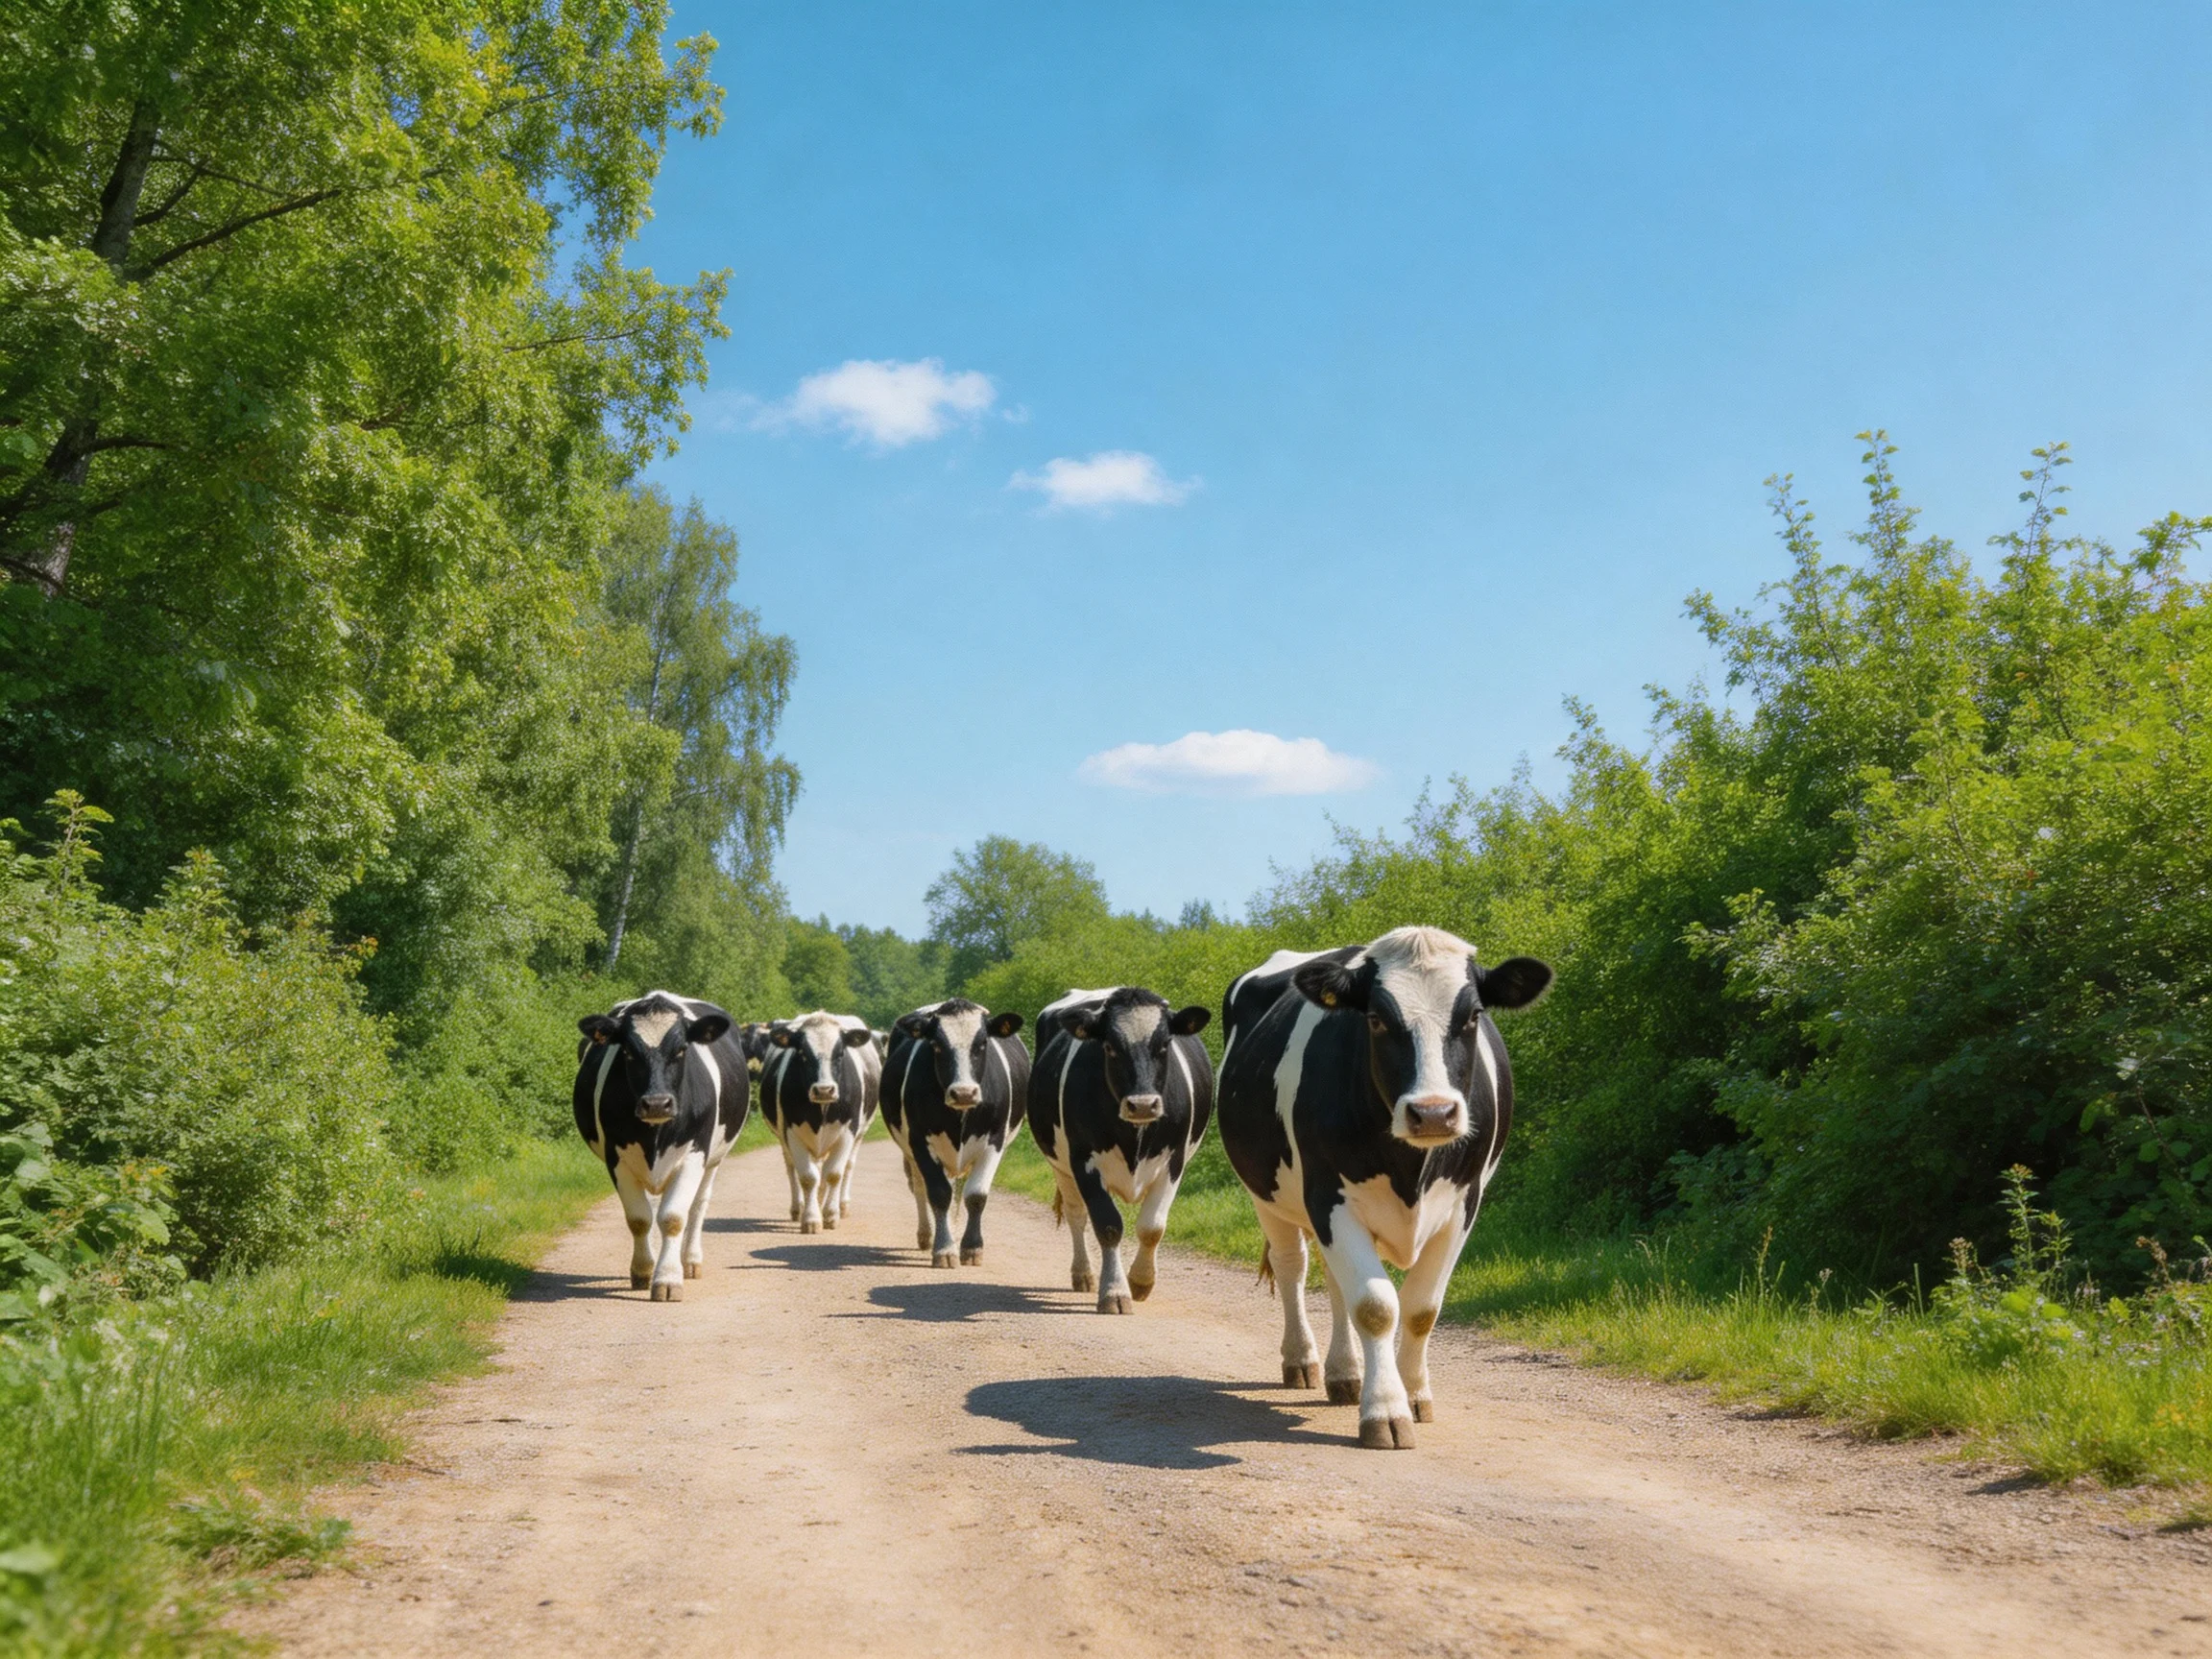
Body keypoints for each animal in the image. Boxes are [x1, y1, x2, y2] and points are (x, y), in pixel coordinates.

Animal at [573, 990, 750, 1301]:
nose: (657, 1103)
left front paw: (668, 1278)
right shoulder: (617, 1159)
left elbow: (673, 1217)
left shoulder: (694, 1155)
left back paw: (690, 1261)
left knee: (698, 1206)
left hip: (713, 1160)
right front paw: (644, 1270)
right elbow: (639, 1218)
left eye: (681, 1049)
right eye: (628, 1051)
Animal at [757, 1010, 880, 1233]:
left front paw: (831, 1215)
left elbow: (834, 1174)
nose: (824, 1090)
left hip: (859, 1134)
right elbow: (808, 1177)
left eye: (840, 1054)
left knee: (846, 1167)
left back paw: (841, 1205)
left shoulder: (848, 1132)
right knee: (795, 1169)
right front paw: (811, 1218)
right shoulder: (791, 1132)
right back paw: (799, 1207)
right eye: (803, 1054)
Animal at [883, 999, 1029, 1268]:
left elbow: (976, 1195)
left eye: (982, 1043)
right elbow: (939, 1194)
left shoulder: (995, 1141)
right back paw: (928, 1234)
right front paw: (944, 1249)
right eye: (936, 1045)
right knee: (921, 1188)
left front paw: (971, 1247)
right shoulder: (920, 1142)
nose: (963, 1093)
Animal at [1031, 986, 1214, 1314]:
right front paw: (1115, 1291)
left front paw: (1140, 1282)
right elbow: (1108, 1225)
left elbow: (1152, 1228)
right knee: (1076, 1215)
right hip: (1060, 1165)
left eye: (1165, 1044)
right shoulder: (1084, 1162)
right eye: (1109, 1047)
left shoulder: (1174, 1161)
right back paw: (1083, 1274)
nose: (1142, 1104)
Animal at [1216, 927, 1551, 1448]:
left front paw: (1413, 1396)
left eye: (1474, 1015)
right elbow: (1375, 1305)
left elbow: (1420, 1308)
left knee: (1333, 1281)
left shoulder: (1463, 1204)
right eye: (1375, 1018)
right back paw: (1303, 1360)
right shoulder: (1328, 1197)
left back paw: (1346, 1374)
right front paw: (1385, 1412)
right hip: (1265, 1192)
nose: (1433, 1113)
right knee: (1293, 1268)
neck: (1410, 1168)